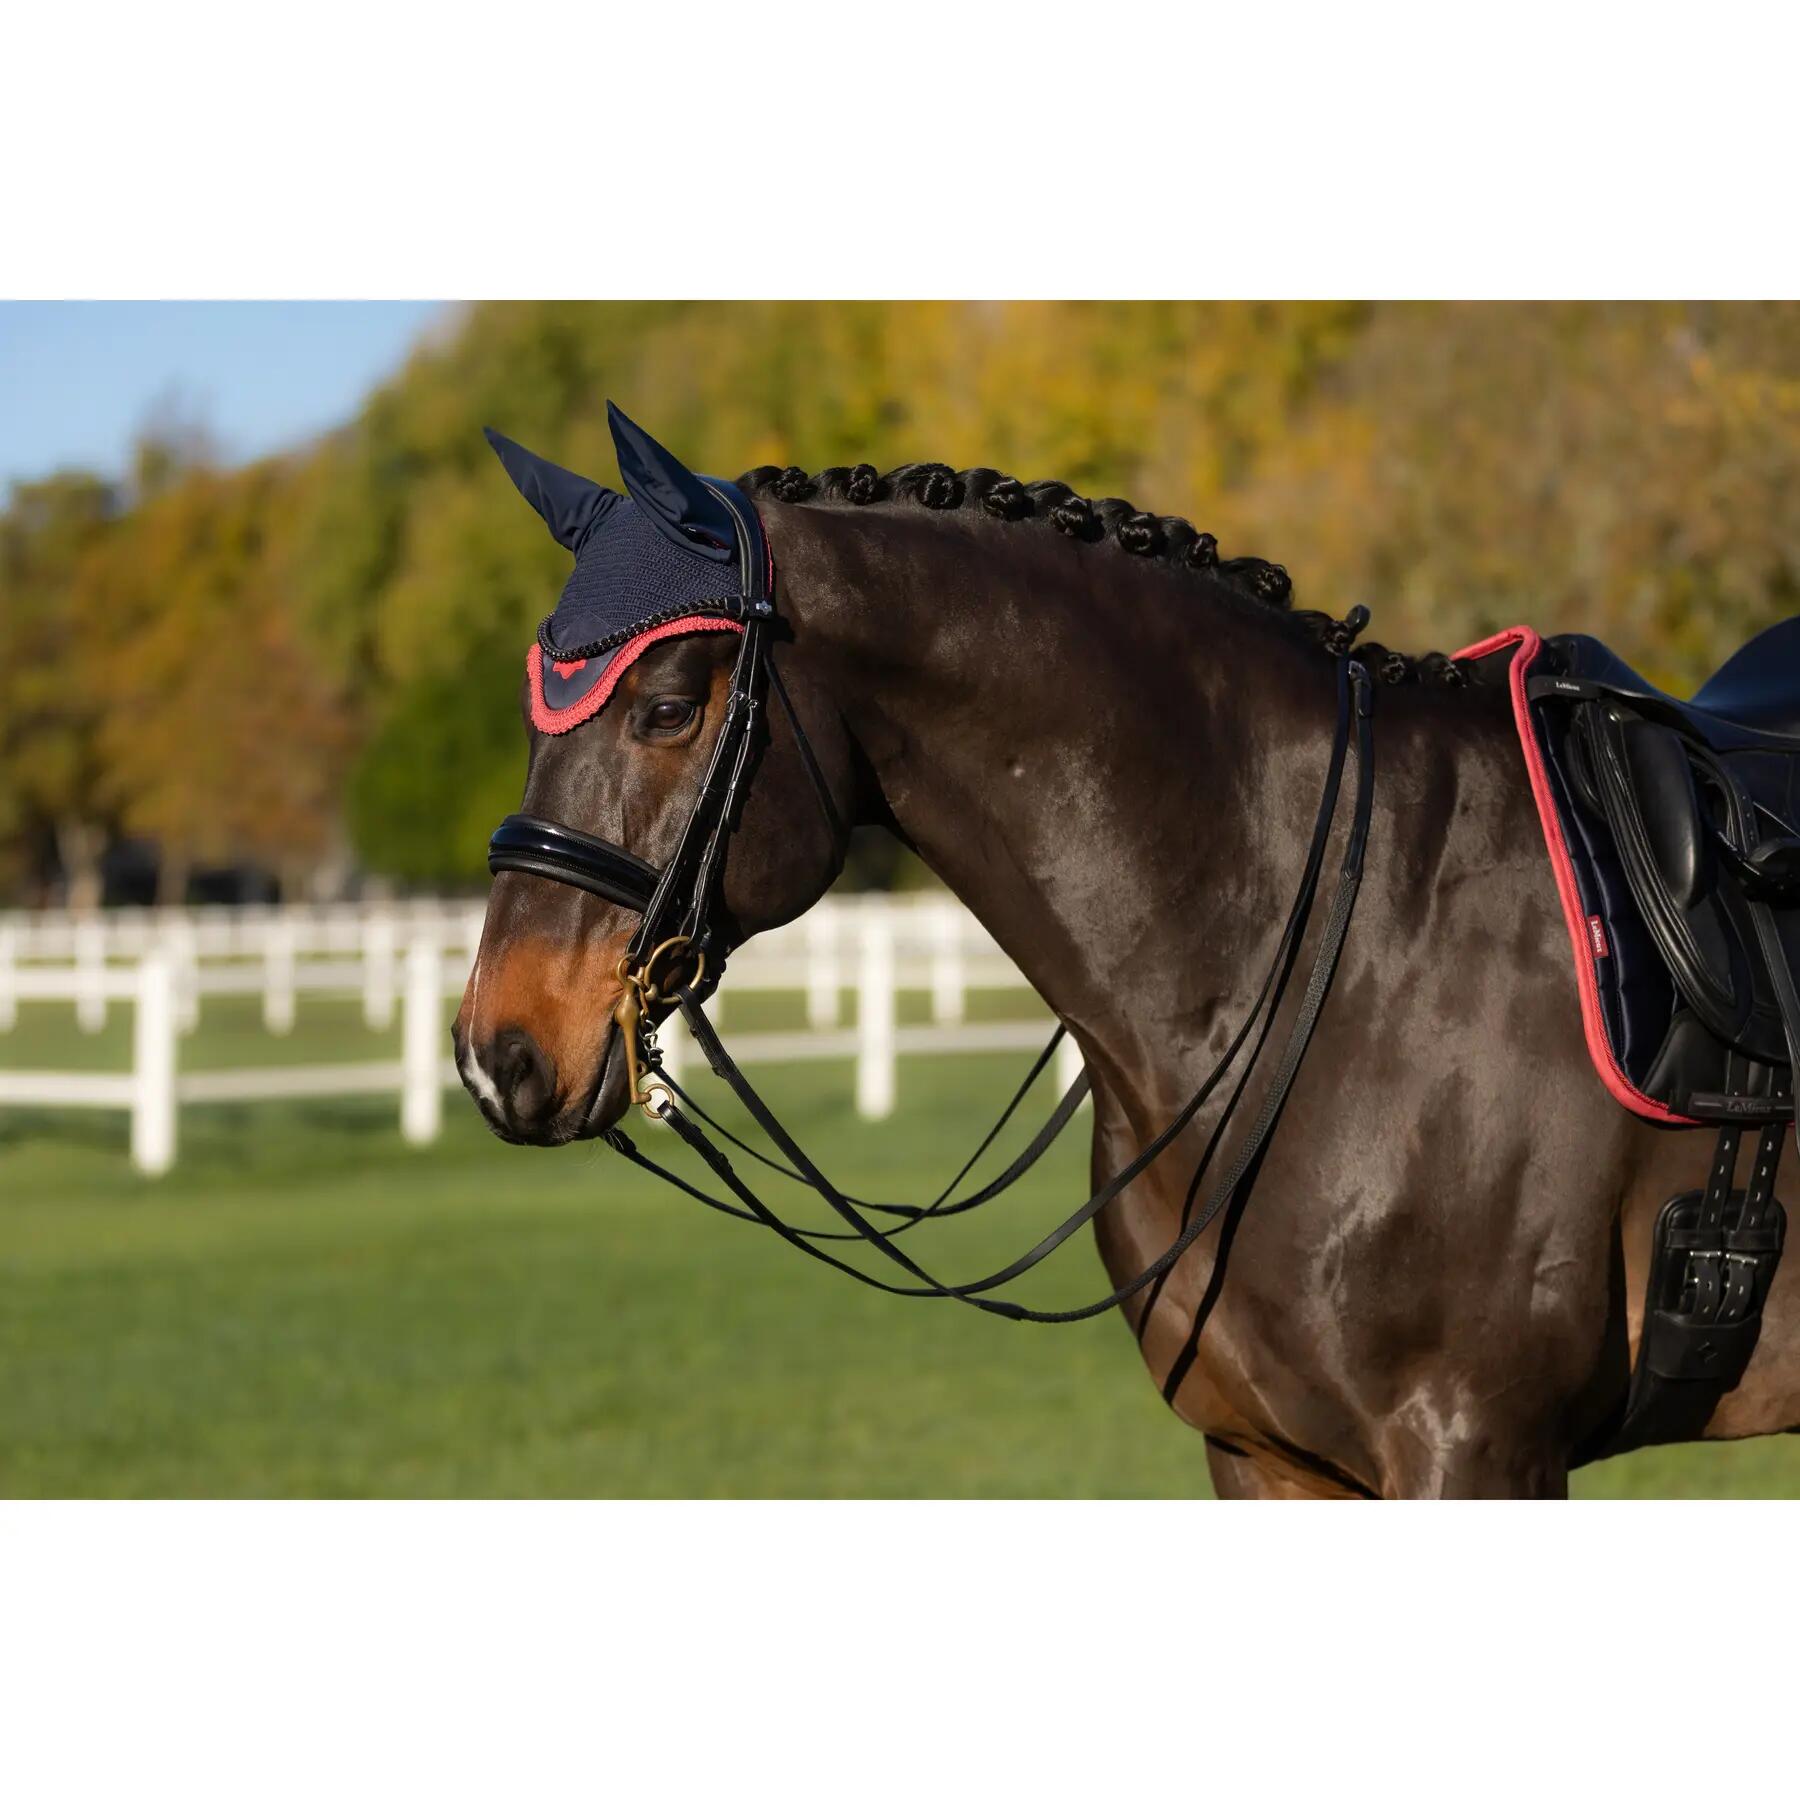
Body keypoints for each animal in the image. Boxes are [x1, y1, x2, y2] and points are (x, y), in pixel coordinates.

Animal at [453, 407, 1800, 1498]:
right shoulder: (1265, 1455)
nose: (495, 1055)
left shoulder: (1474, 1448)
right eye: (530, 714)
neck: (1346, 948)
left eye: (666, 707)